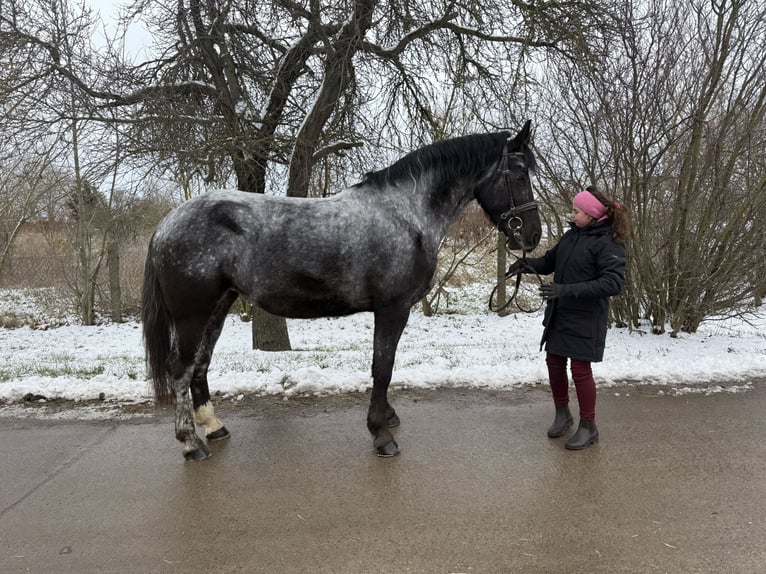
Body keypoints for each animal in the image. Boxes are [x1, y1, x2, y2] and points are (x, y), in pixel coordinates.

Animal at [141, 119, 544, 462]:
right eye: (519, 174)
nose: (533, 235)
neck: (406, 215)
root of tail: (165, 225)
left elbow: (384, 367)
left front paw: (387, 418)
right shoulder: (392, 308)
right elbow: (383, 367)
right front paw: (381, 435)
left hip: (218, 306)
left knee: (200, 364)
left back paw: (213, 426)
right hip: (192, 314)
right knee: (180, 369)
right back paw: (191, 444)